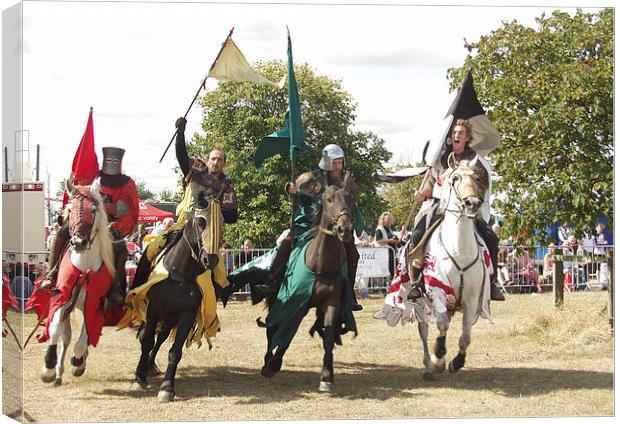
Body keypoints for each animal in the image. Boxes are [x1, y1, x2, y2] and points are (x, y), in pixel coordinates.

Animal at [40, 181, 115, 386]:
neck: (83, 267)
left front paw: (77, 362)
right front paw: (48, 368)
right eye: (70, 209)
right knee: (65, 337)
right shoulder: (62, 299)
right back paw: (58, 372)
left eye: (93, 210)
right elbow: (55, 330)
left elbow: (83, 341)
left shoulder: (95, 306)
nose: (79, 242)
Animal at [414, 153, 492, 380]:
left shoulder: (472, 298)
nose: (472, 203)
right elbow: (441, 325)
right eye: (454, 178)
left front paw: (456, 362)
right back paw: (428, 366)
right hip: (420, 302)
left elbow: (465, 336)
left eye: (477, 178)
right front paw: (438, 359)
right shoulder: (437, 291)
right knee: (424, 330)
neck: (459, 250)